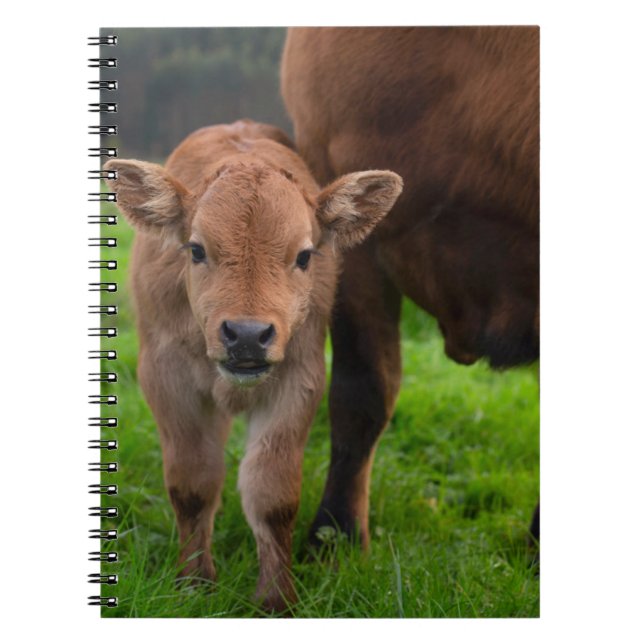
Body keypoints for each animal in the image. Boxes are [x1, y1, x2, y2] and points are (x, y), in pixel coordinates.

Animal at [104, 120, 402, 612]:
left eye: (304, 255)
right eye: (196, 250)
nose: (246, 334)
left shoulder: (299, 380)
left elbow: (273, 495)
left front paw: (276, 600)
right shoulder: (166, 380)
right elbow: (192, 484)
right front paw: (194, 584)